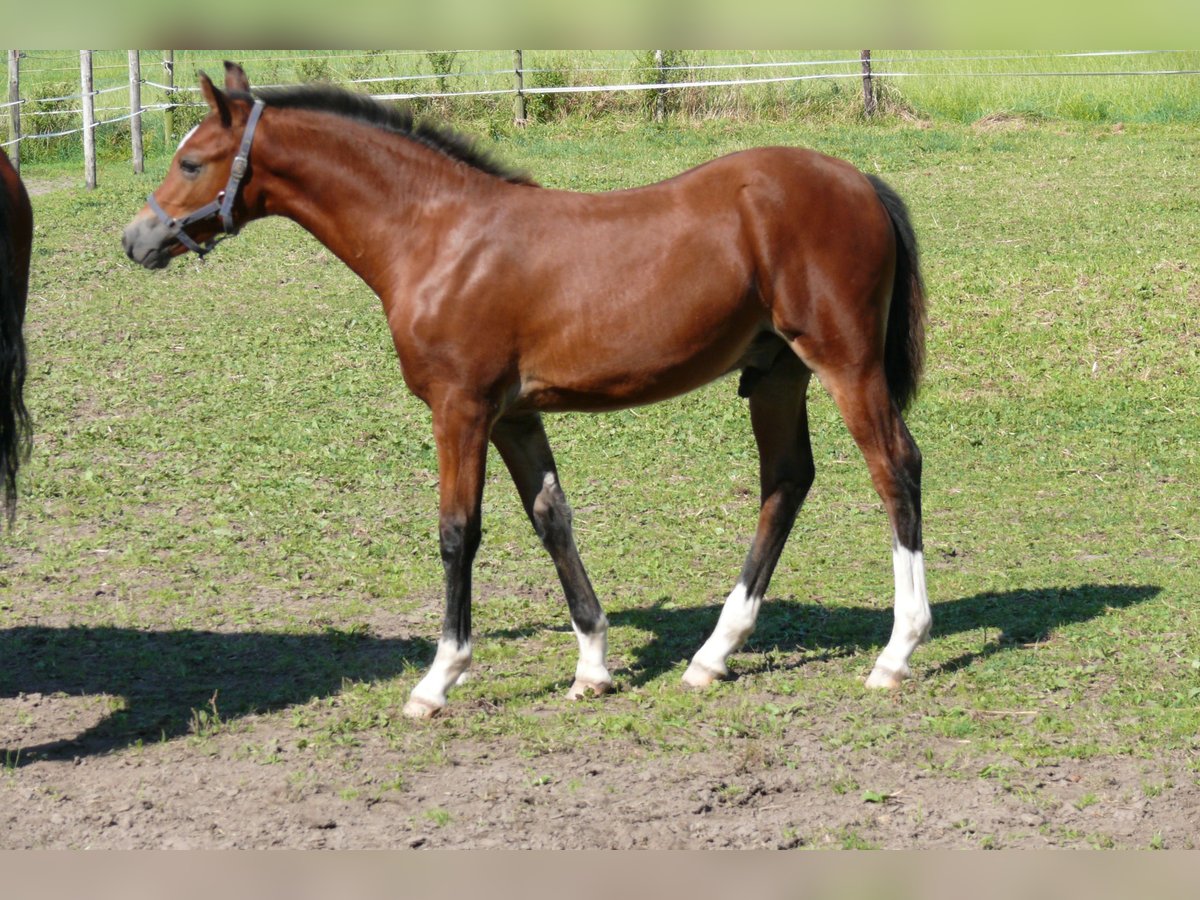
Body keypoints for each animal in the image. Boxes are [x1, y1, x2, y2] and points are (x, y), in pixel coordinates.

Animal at [124, 65, 926, 720]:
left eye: (191, 161)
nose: (135, 240)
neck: (437, 236)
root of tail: (861, 181)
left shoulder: (461, 408)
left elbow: (457, 532)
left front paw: (438, 679)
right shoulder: (514, 416)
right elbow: (552, 520)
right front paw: (593, 667)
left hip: (846, 364)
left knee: (895, 468)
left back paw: (897, 651)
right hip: (777, 373)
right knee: (786, 481)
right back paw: (711, 656)